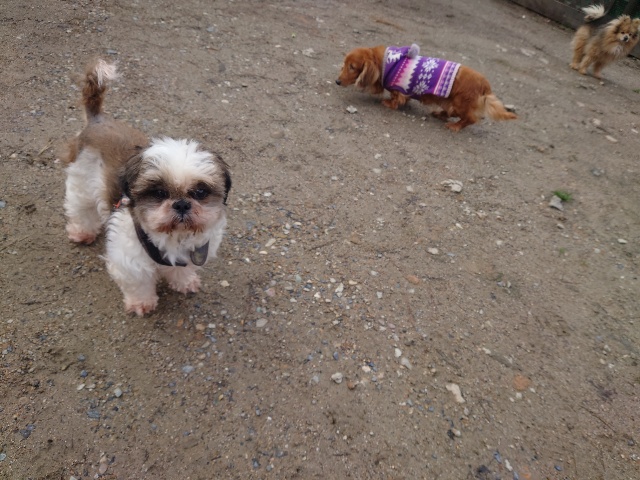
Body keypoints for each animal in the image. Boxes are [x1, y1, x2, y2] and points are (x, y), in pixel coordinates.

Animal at [63, 59, 231, 316]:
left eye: (200, 192)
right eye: (159, 193)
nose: (181, 204)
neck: (174, 238)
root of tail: (98, 119)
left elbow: (182, 269)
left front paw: (184, 281)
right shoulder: (130, 260)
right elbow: (138, 283)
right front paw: (141, 302)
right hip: (81, 180)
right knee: (81, 208)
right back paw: (82, 231)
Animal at [336, 43, 516, 131]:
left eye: (352, 67)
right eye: (344, 64)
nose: (337, 82)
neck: (387, 63)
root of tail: (485, 85)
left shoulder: (399, 88)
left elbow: (396, 97)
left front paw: (389, 103)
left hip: (460, 103)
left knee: (470, 119)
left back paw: (455, 126)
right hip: (451, 102)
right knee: (451, 112)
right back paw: (440, 114)